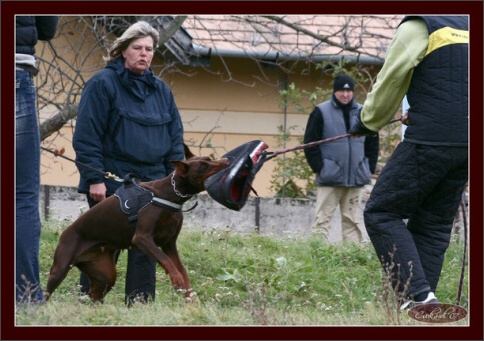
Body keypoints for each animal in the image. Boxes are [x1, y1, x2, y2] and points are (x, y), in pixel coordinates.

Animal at [44, 142, 230, 302]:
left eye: (209, 158)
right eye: (203, 166)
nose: (227, 160)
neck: (169, 194)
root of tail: (65, 233)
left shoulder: (169, 243)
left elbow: (181, 268)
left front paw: (189, 295)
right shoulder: (142, 238)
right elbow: (166, 260)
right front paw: (176, 279)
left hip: (105, 273)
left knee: (93, 294)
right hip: (61, 267)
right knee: (47, 291)